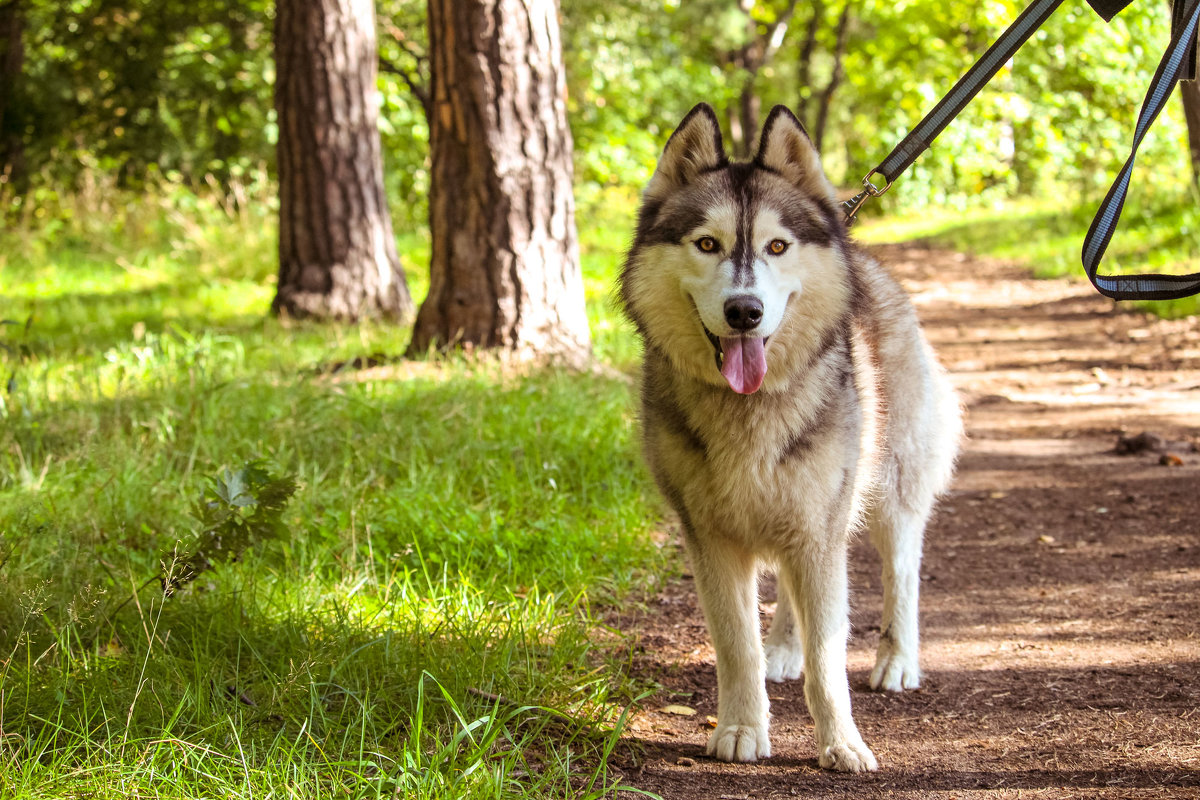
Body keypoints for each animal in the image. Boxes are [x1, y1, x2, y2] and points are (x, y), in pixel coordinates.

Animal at [624, 103, 960, 772]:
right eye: (707, 244)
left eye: (777, 246)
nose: (744, 311)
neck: (747, 409)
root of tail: (862, 253)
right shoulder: (710, 537)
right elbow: (737, 646)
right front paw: (741, 728)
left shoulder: (820, 529)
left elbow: (829, 656)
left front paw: (842, 743)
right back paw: (784, 648)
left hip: (889, 489)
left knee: (902, 570)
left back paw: (897, 660)